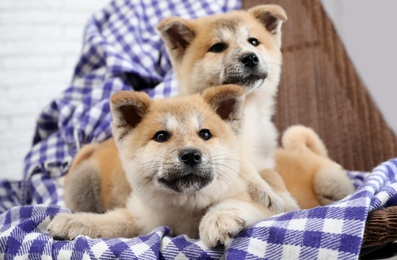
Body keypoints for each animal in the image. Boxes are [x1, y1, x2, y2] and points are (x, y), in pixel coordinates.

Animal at [48, 86, 278, 248]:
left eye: (205, 134)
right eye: (161, 136)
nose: (191, 155)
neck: (184, 208)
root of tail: (96, 146)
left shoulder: (257, 205)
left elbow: (237, 203)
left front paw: (218, 219)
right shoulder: (141, 218)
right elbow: (108, 222)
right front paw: (74, 222)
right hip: (84, 183)